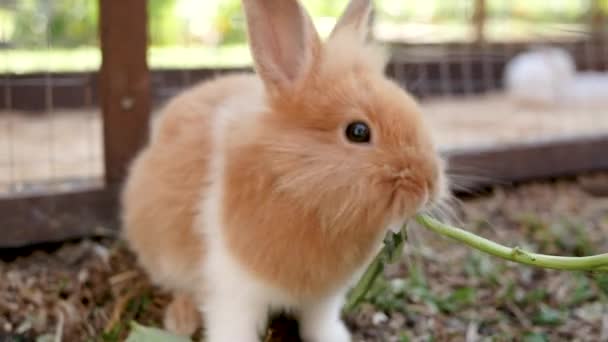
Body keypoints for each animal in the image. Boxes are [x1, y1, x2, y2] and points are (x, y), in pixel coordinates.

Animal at [121, 0, 448, 342]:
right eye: (358, 132)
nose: (429, 186)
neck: (298, 193)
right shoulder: (233, 290)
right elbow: (233, 327)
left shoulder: (324, 298)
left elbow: (319, 322)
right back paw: (180, 320)